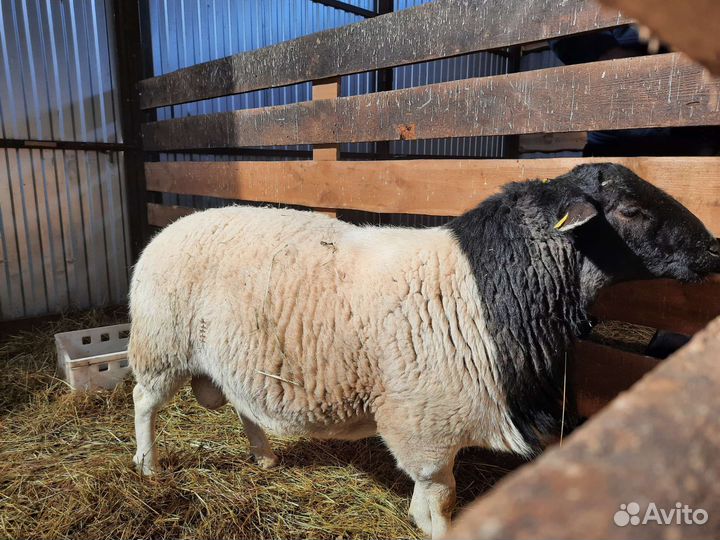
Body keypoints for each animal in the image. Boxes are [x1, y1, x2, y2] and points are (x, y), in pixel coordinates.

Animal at [129, 163, 720, 538]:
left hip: (232, 356)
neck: (492, 286)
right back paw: (148, 466)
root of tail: (169, 228)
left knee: (243, 404)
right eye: (632, 210)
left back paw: (264, 456)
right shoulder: (426, 428)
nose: (714, 248)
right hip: (161, 344)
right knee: (144, 402)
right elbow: (438, 505)